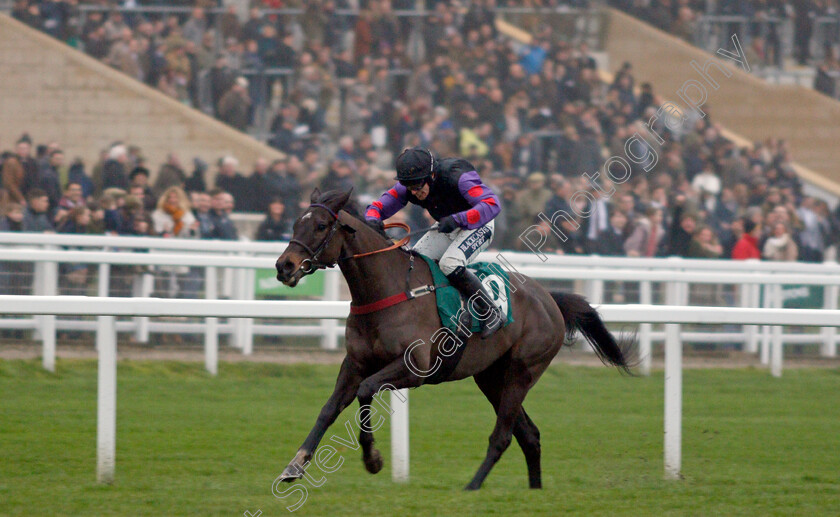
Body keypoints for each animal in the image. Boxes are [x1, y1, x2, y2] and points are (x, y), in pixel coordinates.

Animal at [276, 188, 636, 488]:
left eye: (321, 225)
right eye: (295, 224)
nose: (284, 266)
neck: (388, 292)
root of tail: (548, 297)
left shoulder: (414, 369)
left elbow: (366, 391)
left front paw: (373, 459)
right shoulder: (354, 363)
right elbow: (329, 408)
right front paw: (295, 465)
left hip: (522, 372)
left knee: (503, 436)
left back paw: (473, 486)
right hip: (492, 377)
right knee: (529, 435)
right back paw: (535, 490)